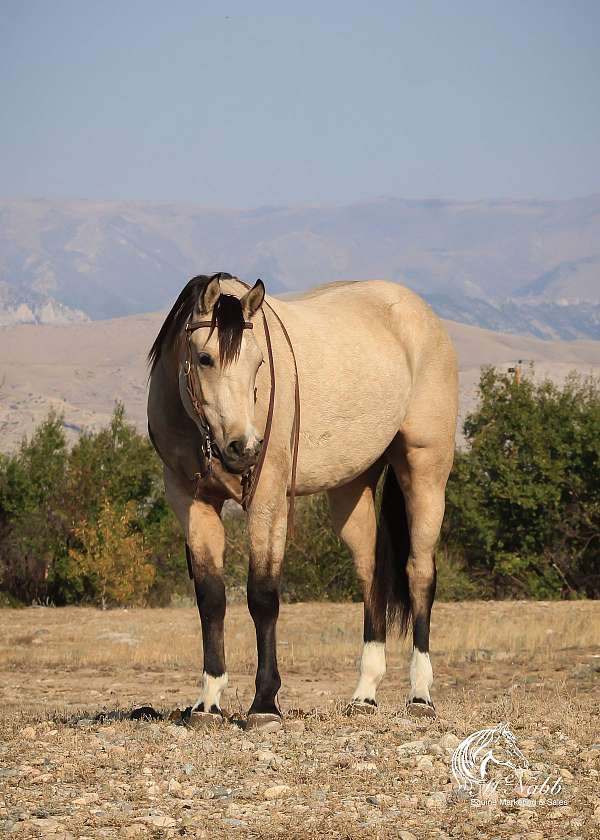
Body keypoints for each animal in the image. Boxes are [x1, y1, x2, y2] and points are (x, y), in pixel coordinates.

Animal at [148, 270, 458, 728]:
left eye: (259, 363)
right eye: (205, 359)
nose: (244, 448)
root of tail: (423, 315)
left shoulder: (268, 500)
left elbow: (262, 596)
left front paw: (264, 704)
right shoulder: (191, 501)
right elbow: (211, 598)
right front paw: (208, 702)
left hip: (425, 472)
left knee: (419, 574)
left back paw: (420, 696)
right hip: (352, 490)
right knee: (372, 577)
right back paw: (365, 695)